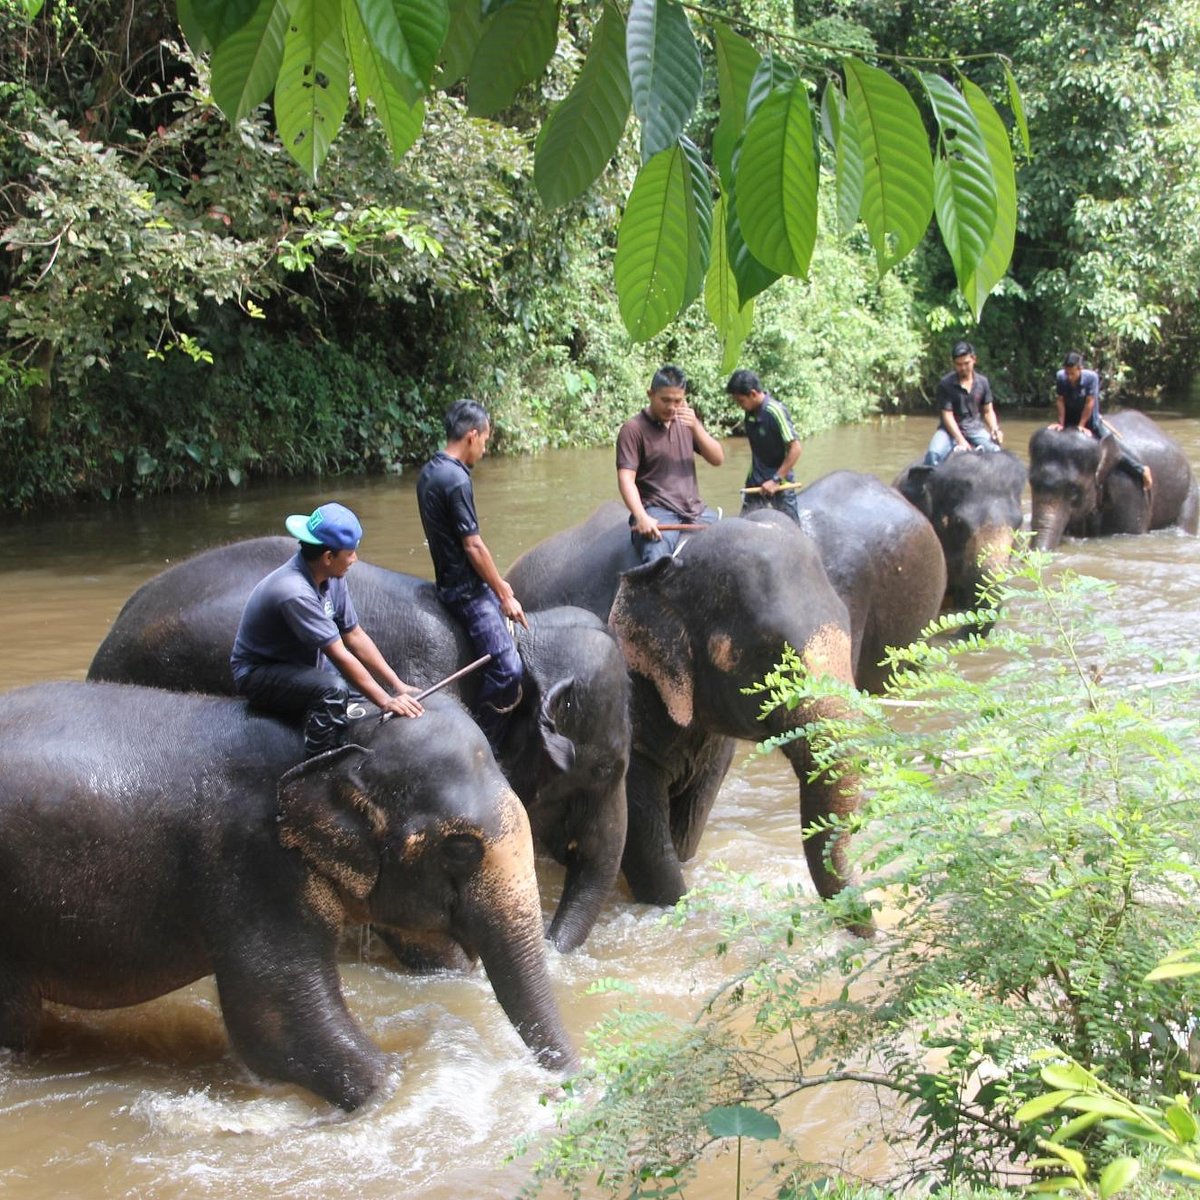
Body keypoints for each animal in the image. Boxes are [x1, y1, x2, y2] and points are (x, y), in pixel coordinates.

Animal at [0, 683, 577, 1111]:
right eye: (460, 848)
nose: (570, 1089)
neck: (331, 741)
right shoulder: (251, 860)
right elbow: (278, 1026)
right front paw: (392, 1093)